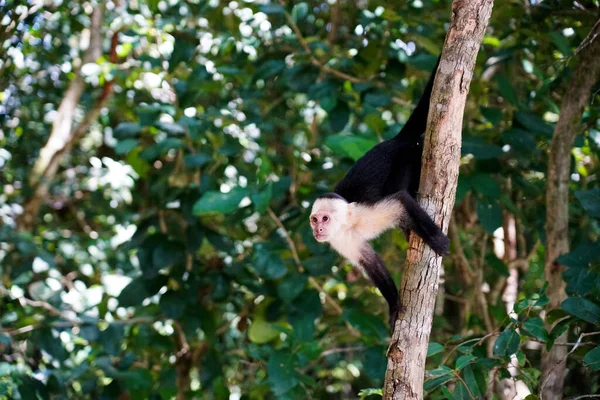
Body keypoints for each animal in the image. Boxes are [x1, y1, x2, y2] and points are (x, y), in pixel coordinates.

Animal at [312, 55, 448, 332]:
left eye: (325, 219)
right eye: (314, 219)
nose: (317, 229)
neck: (348, 224)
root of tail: (394, 141)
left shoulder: (365, 214)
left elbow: (399, 200)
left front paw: (437, 239)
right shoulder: (340, 241)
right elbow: (372, 264)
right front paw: (394, 305)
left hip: (410, 153)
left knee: (402, 187)